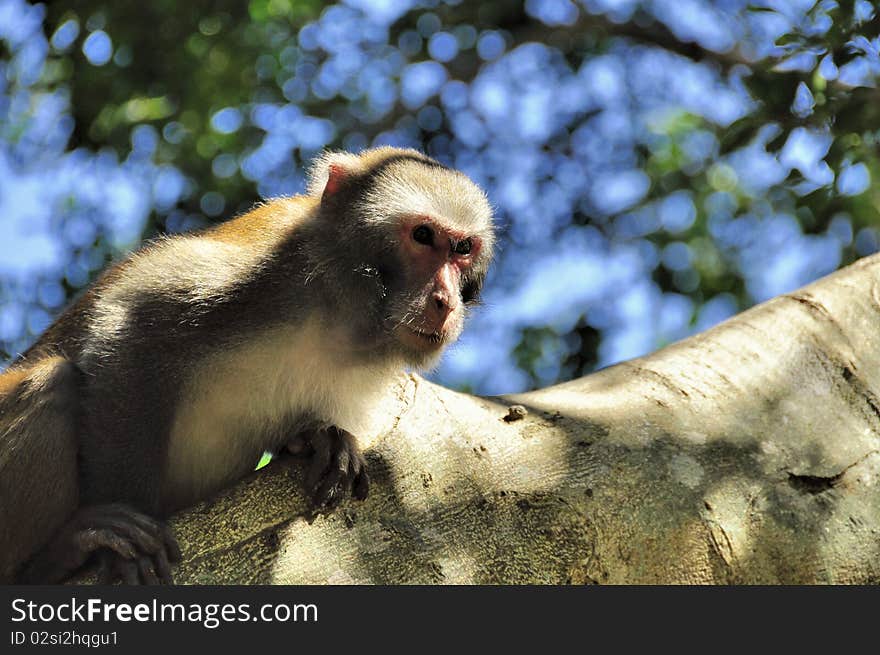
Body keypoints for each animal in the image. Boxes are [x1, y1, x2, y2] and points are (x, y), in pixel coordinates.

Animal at [0, 149, 496, 584]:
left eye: (462, 249)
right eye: (423, 237)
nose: (445, 301)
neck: (341, 319)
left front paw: (318, 439)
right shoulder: (264, 272)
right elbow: (126, 332)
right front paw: (122, 546)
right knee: (51, 383)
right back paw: (53, 560)